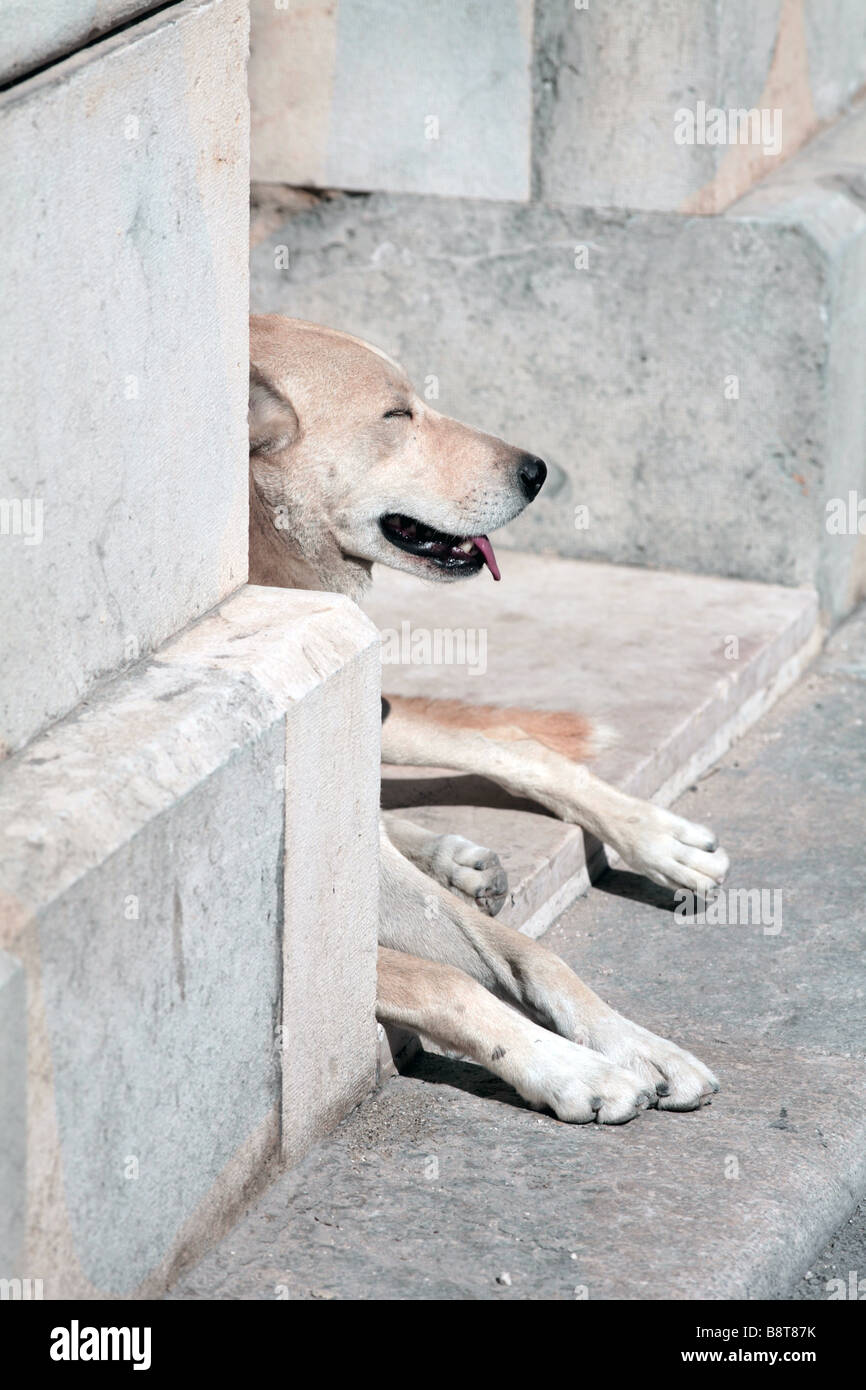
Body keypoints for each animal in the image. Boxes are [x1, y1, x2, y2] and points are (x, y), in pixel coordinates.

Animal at [250, 312, 733, 1117]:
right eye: (396, 415)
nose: (537, 471)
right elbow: (447, 979)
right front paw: (571, 1068)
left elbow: (530, 954)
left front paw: (637, 1047)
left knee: (502, 741)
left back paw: (645, 839)